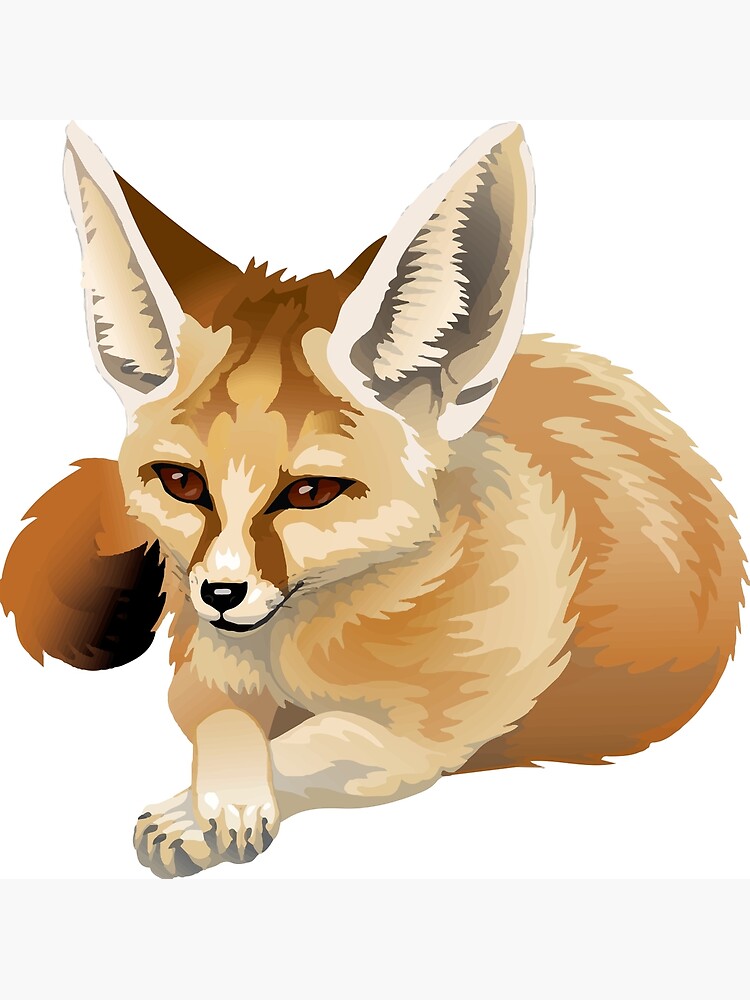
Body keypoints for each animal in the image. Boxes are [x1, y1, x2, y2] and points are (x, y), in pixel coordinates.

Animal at [0, 121, 744, 879]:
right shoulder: (206, 677)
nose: (220, 593)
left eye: (310, 493)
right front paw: (221, 797)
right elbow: (225, 724)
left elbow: (311, 745)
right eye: (183, 484)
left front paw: (206, 809)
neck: (299, 647)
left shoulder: (422, 742)